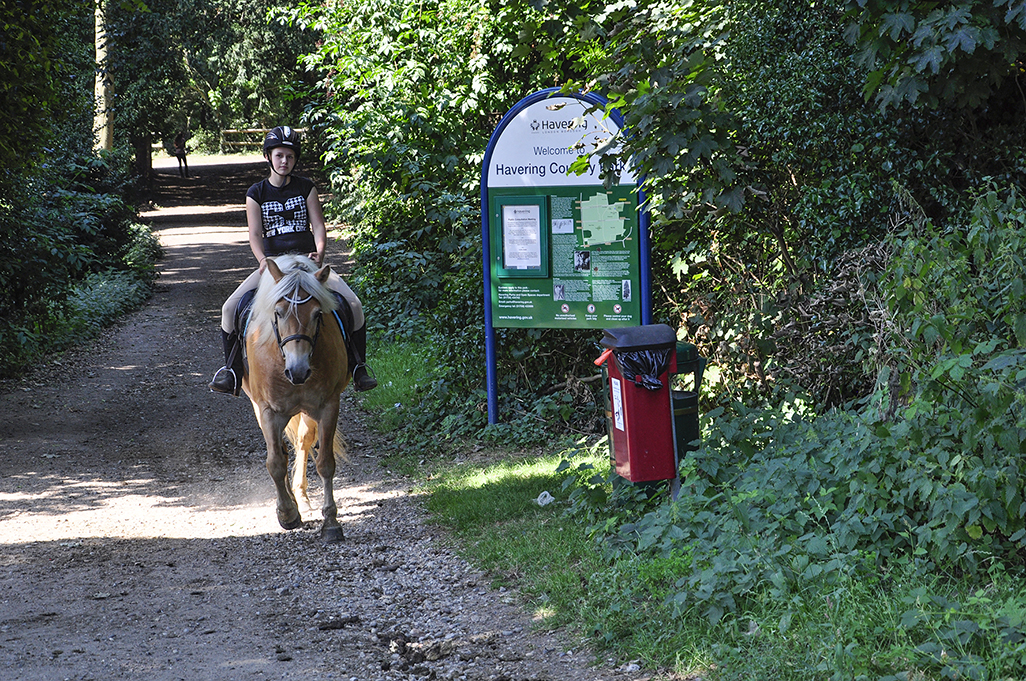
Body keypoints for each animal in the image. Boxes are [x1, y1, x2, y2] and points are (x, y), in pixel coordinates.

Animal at [242, 255, 350, 541]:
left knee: (303, 441)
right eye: (278, 313)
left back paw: (300, 497)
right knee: (280, 450)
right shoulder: (268, 410)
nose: (298, 370)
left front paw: (331, 522)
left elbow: (325, 463)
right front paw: (287, 515)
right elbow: (275, 462)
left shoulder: (327, 406)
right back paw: (292, 503)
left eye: (317, 314)